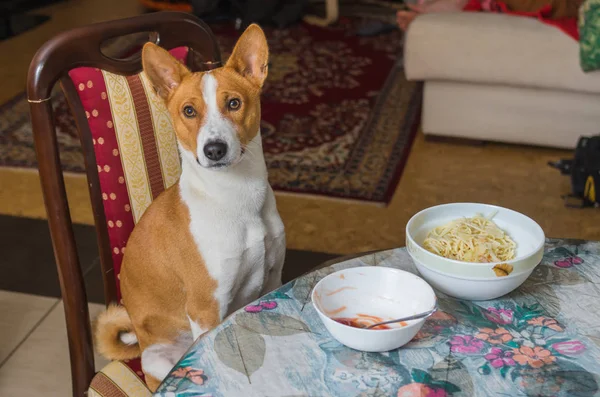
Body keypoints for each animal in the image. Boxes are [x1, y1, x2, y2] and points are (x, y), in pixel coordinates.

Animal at [95, 24, 286, 390]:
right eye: (188, 111)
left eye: (234, 103)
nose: (214, 149)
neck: (237, 198)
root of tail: (141, 346)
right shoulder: (207, 307)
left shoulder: (272, 280)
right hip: (161, 360)